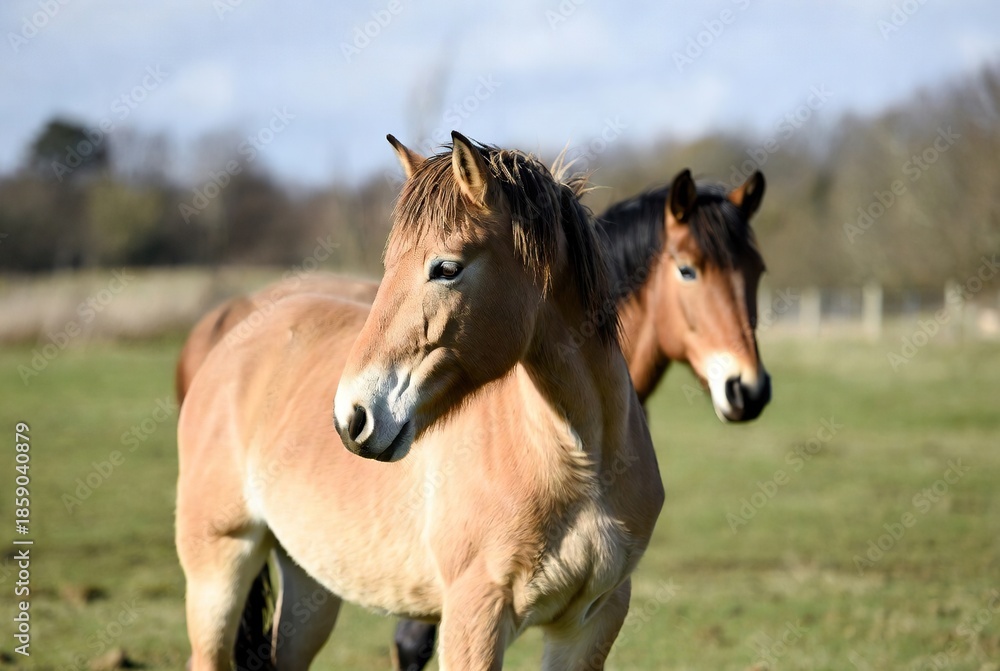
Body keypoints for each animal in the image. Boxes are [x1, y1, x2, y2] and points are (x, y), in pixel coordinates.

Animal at [173, 166, 770, 671]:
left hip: (310, 581)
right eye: (687, 270)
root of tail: (232, 330)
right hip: (220, 566)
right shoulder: (471, 616)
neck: (578, 460)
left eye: (446, 268)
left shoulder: (589, 623)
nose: (353, 417)